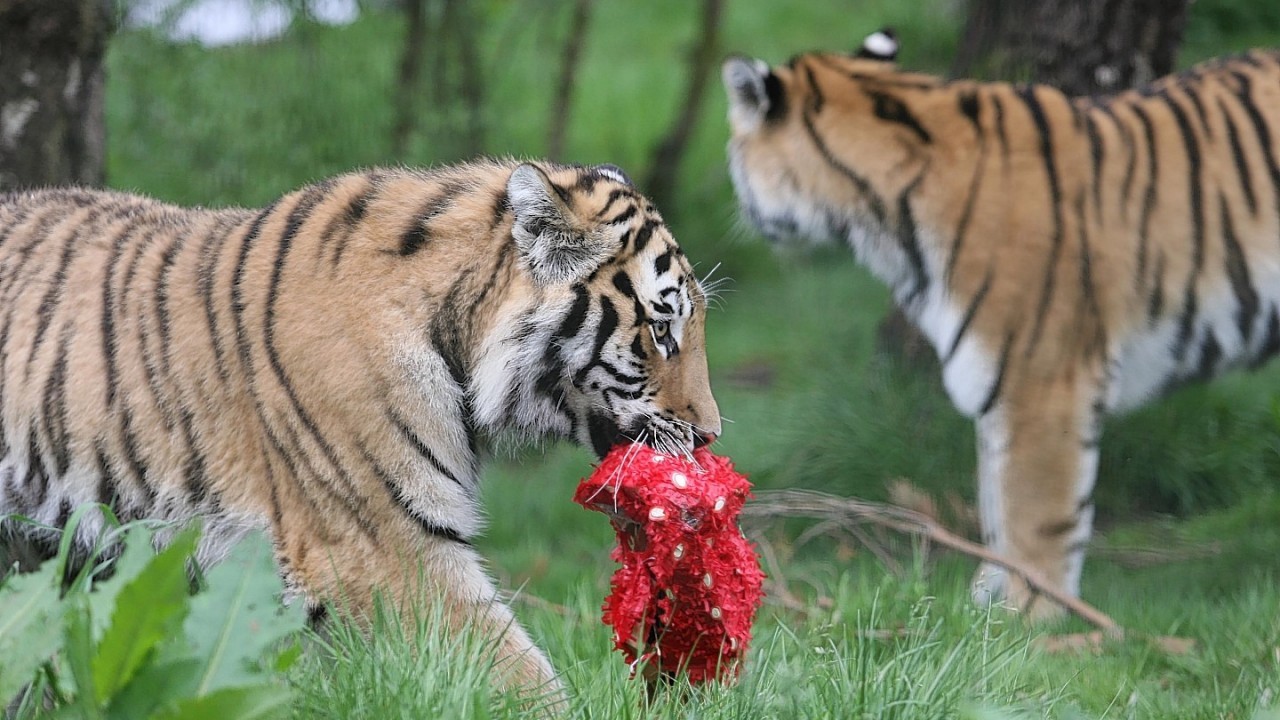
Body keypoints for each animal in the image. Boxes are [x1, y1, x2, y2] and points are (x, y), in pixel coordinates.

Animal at [721, 30, 1280, 617]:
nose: (744, 209)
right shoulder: (996, 383)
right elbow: (996, 502)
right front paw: (985, 602)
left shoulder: (1042, 382)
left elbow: (1035, 517)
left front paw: (1030, 617)